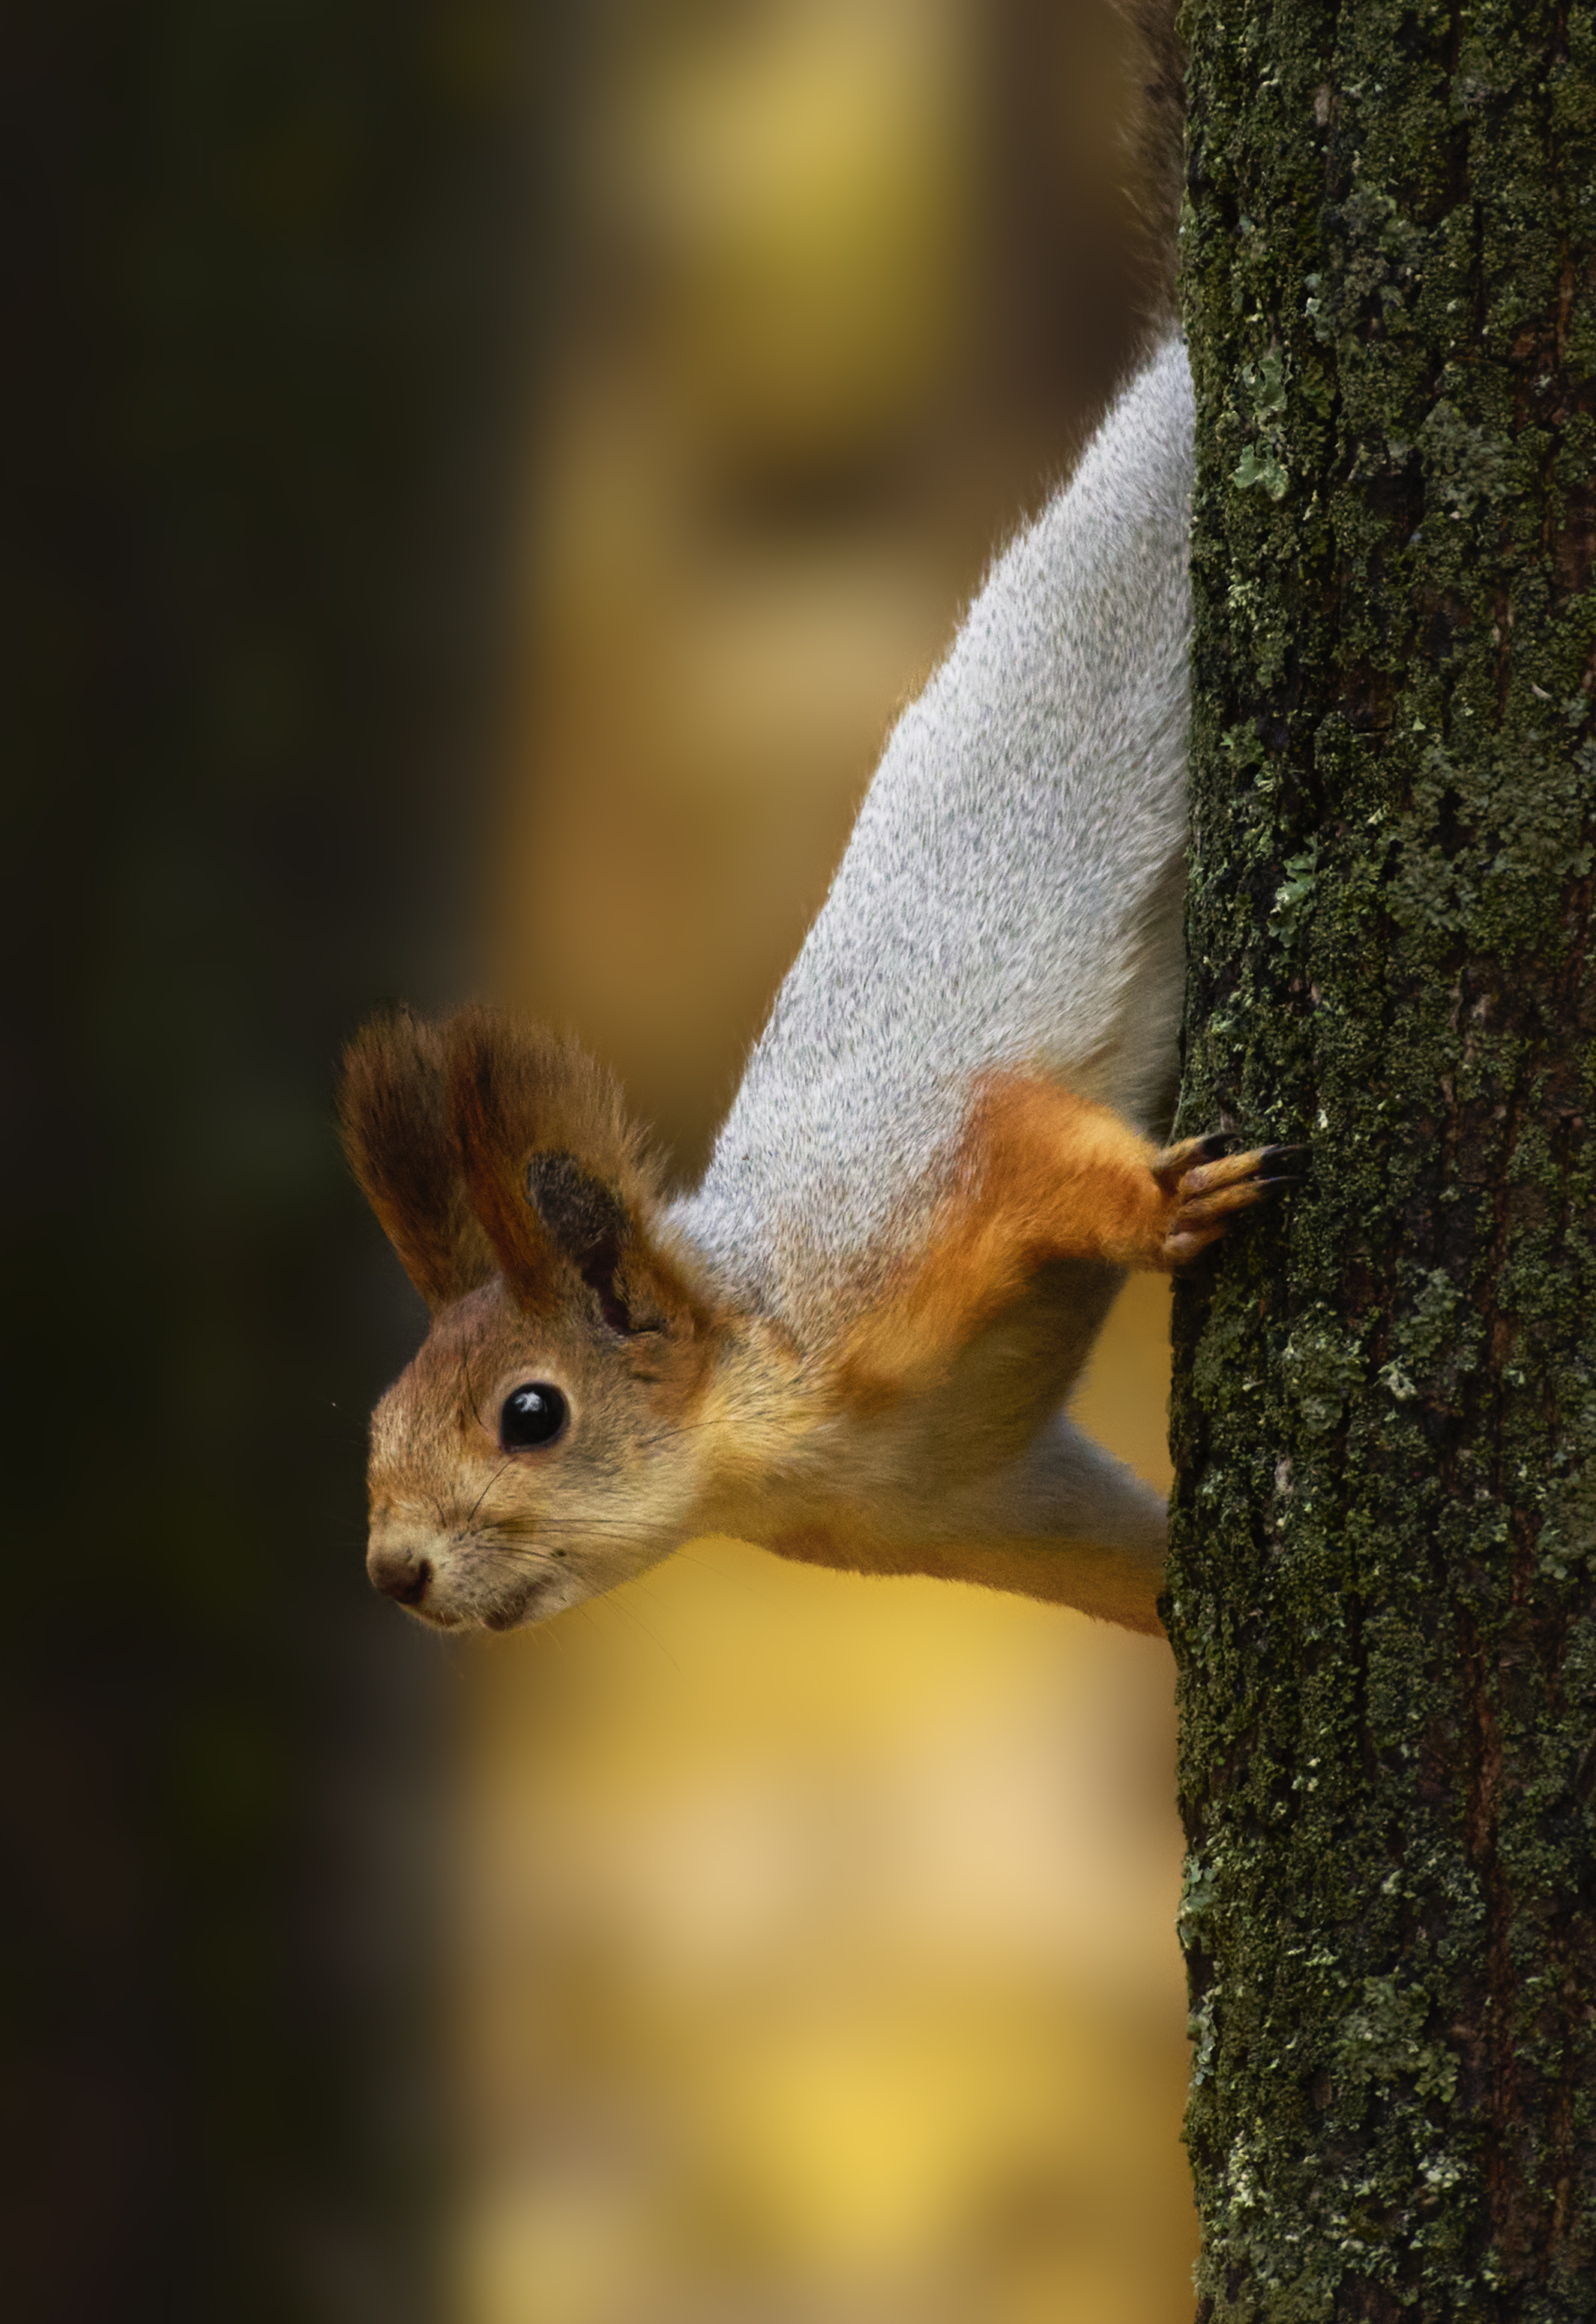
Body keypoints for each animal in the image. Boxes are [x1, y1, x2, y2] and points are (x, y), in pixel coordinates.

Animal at [338, 4, 1293, 1639]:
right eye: (378, 1419)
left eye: (532, 1414)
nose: (391, 1572)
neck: (765, 1397)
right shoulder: (968, 1506)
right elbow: (1106, 1548)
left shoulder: (907, 1203)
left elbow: (1025, 1139)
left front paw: (1165, 1202)